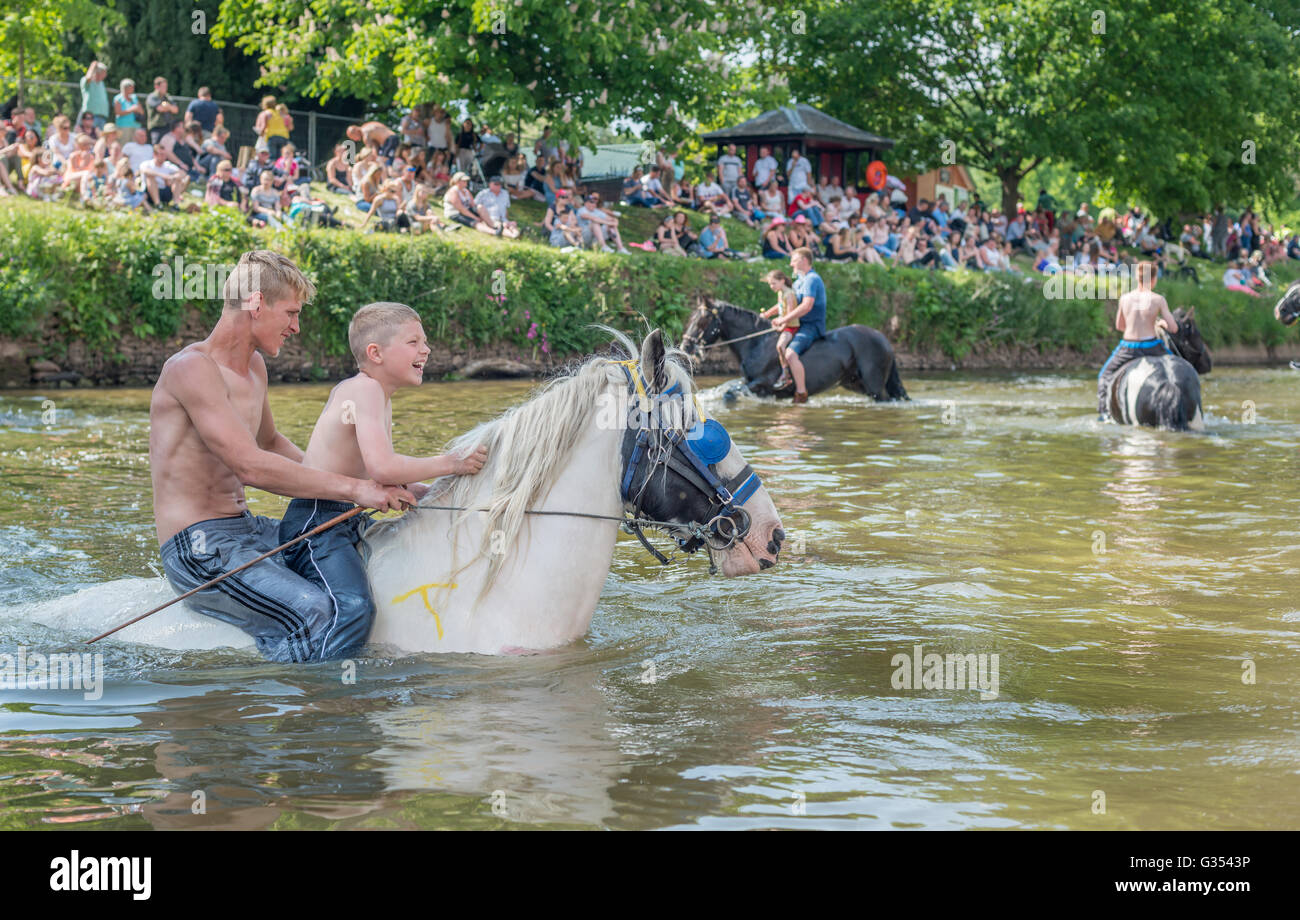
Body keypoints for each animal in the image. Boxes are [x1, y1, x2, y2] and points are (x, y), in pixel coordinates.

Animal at [681, 296, 904, 400]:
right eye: (691, 318)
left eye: (703, 320)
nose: (685, 346)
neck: (756, 344)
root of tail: (882, 338)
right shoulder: (755, 385)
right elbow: (729, 388)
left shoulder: (762, 384)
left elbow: (730, 392)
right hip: (855, 383)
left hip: (875, 387)